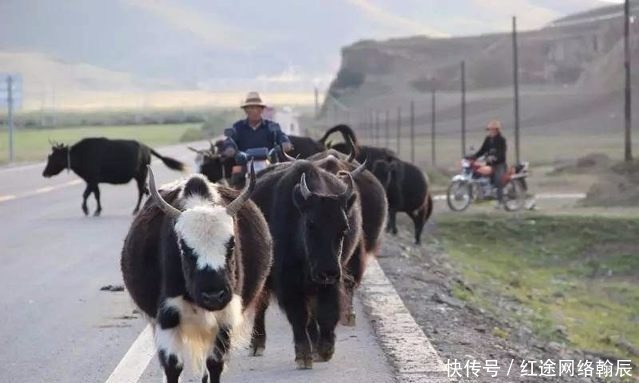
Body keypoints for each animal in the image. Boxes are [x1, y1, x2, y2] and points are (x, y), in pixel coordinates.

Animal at [42, 137, 184, 216]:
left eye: (52, 157)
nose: (44, 173)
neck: (80, 155)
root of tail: (147, 148)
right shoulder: (93, 181)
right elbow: (96, 194)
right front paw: (97, 210)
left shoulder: (92, 179)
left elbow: (86, 194)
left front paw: (87, 210)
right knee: (145, 190)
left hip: (141, 175)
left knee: (141, 191)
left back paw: (135, 210)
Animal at [120, 165, 272, 383]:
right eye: (184, 248)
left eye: (231, 244)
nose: (213, 295)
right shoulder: (167, 316)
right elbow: (173, 366)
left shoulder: (225, 317)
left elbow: (214, 364)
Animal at [248, 160, 362, 370]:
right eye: (311, 224)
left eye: (344, 228)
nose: (328, 271)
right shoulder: (288, 283)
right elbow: (299, 316)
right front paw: (304, 355)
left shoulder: (331, 282)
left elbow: (325, 313)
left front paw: (324, 349)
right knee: (262, 305)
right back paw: (257, 344)